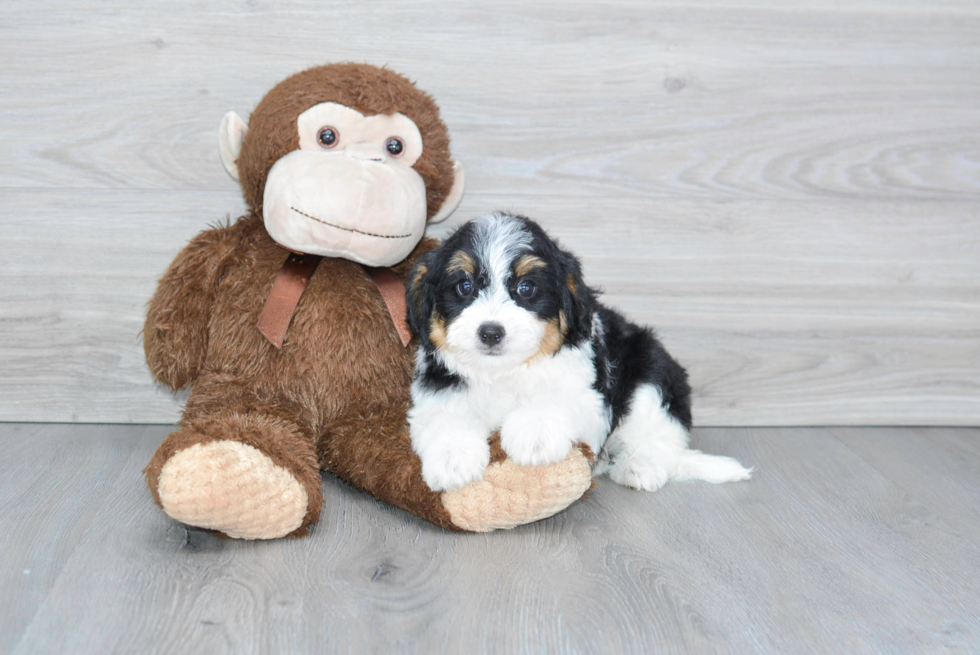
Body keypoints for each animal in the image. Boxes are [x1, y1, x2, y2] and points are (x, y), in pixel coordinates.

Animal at [406, 213, 752, 494]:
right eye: (464, 287)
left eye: (526, 288)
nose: (491, 332)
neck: (502, 372)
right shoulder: (435, 392)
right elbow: (444, 417)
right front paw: (453, 460)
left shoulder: (589, 394)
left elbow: (558, 399)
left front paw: (535, 435)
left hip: (652, 371)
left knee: (660, 433)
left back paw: (640, 466)